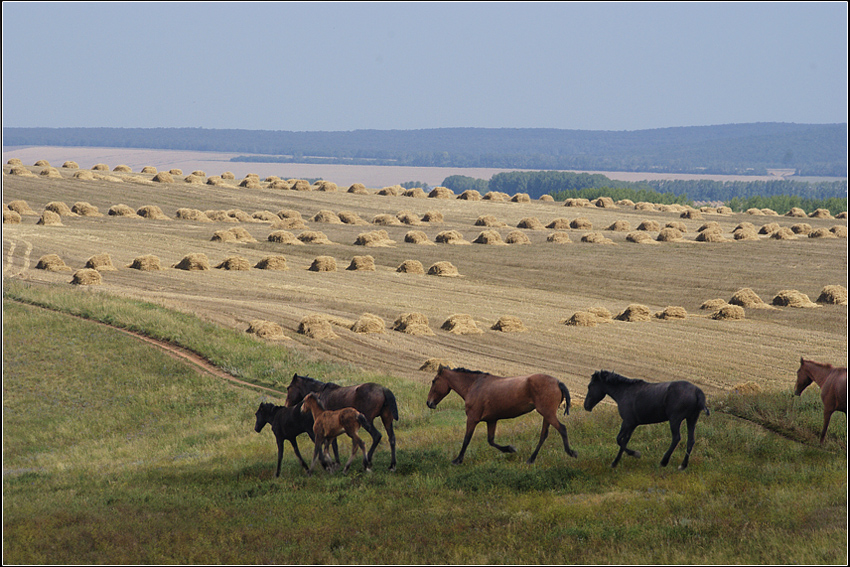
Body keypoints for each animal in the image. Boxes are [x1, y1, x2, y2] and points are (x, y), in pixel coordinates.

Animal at [424, 368, 576, 466]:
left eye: (434, 381)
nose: (429, 403)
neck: (474, 386)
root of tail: (557, 382)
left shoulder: (472, 419)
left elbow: (467, 439)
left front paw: (457, 460)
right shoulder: (491, 420)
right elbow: (491, 441)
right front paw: (510, 449)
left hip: (548, 413)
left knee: (562, 428)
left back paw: (571, 452)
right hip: (546, 415)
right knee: (544, 435)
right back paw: (531, 459)